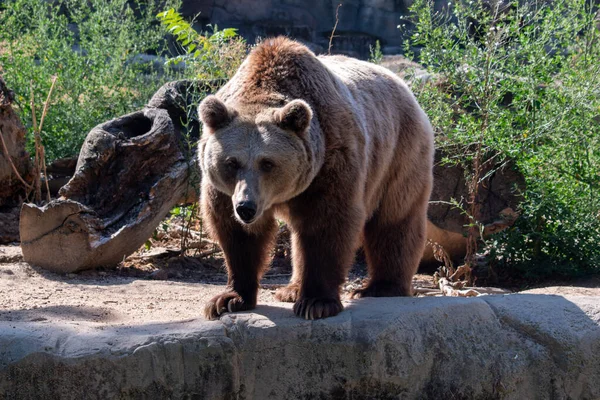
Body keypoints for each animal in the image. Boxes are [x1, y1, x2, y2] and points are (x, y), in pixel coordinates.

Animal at [199, 36, 434, 318]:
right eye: (231, 162)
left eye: (267, 163)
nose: (246, 207)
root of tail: (403, 85)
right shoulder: (224, 189)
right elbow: (235, 233)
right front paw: (228, 299)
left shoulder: (331, 159)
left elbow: (327, 224)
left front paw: (316, 302)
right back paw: (291, 289)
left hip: (399, 151)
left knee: (395, 217)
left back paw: (381, 287)